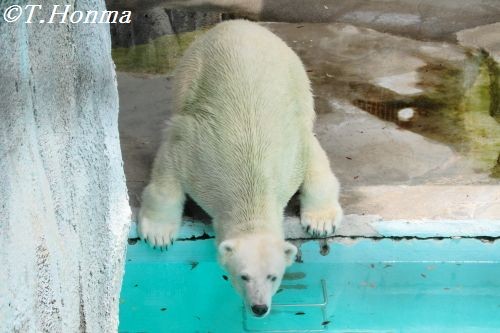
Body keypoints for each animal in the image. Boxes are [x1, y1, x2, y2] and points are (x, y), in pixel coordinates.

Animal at [141, 19, 344, 316]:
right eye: (242, 276)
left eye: (274, 277)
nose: (259, 307)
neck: (251, 181)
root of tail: (237, 23)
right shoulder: (197, 153)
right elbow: (169, 165)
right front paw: (158, 234)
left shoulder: (292, 152)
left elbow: (314, 155)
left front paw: (321, 223)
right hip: (192, 66)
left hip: (295, 73)